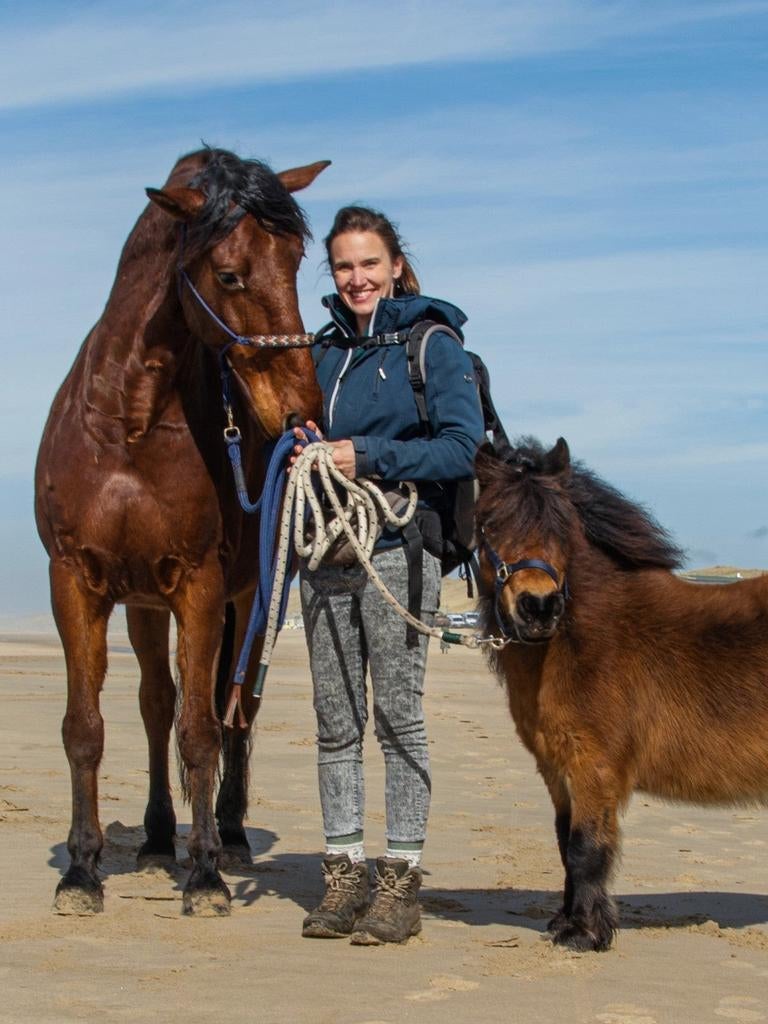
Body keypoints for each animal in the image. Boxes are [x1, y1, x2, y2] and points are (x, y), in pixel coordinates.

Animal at [34, 147, 328, 916]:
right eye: (228, 274)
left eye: (295, 260)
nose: (302, 411)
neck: (130, 423)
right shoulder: (75, 581)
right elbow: (86, 728)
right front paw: (82, 871)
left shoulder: (201, 585)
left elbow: (202, 731)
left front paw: (207, 877)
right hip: (143, 604)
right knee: (155, 704)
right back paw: (160, 835)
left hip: (246, 602)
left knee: (235, 711)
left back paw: (227, 835)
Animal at [474, 437, 768, 951]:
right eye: (490, 522)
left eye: (564, 526)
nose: (539, 606)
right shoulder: (556, 768)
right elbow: (564, 841)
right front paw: (566, 922)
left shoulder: (595, 765)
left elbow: (586, 847)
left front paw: (585, 934)